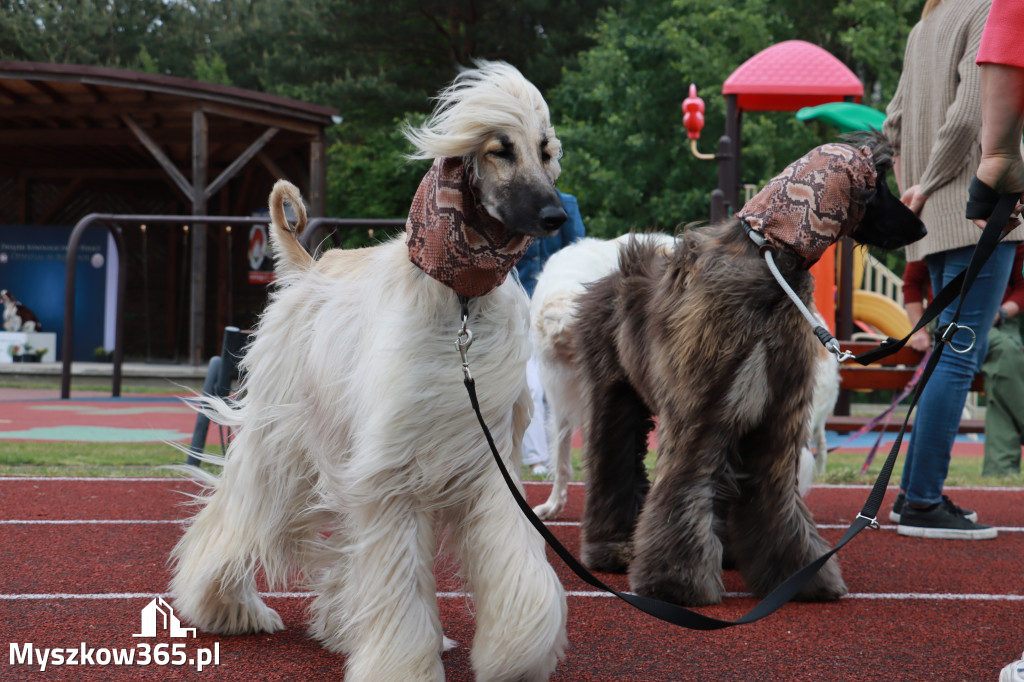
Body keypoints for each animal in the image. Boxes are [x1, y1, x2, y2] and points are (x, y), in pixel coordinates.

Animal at [171, 61, 565, 675]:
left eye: (545, 151)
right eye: (499, 150)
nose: (556, 214)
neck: (460, 301)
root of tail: (308, 268)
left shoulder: (484, 458)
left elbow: (514, 558)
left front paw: (516, 651)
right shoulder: (392, 470)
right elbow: (397, 578)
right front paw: (402, 665)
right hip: (283, 439)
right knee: (242, 509)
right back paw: (225, 605)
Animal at [569, 133, 929, 606]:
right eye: (879, 186)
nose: (921, 229)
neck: (770, 264)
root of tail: (608, 277)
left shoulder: (776, 420)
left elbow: (776, 501)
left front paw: (798, 575)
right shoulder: (699, 418)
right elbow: (683, 489)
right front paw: (675, 583)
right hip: (614, 392)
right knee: (613, 459)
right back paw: (612, 547)